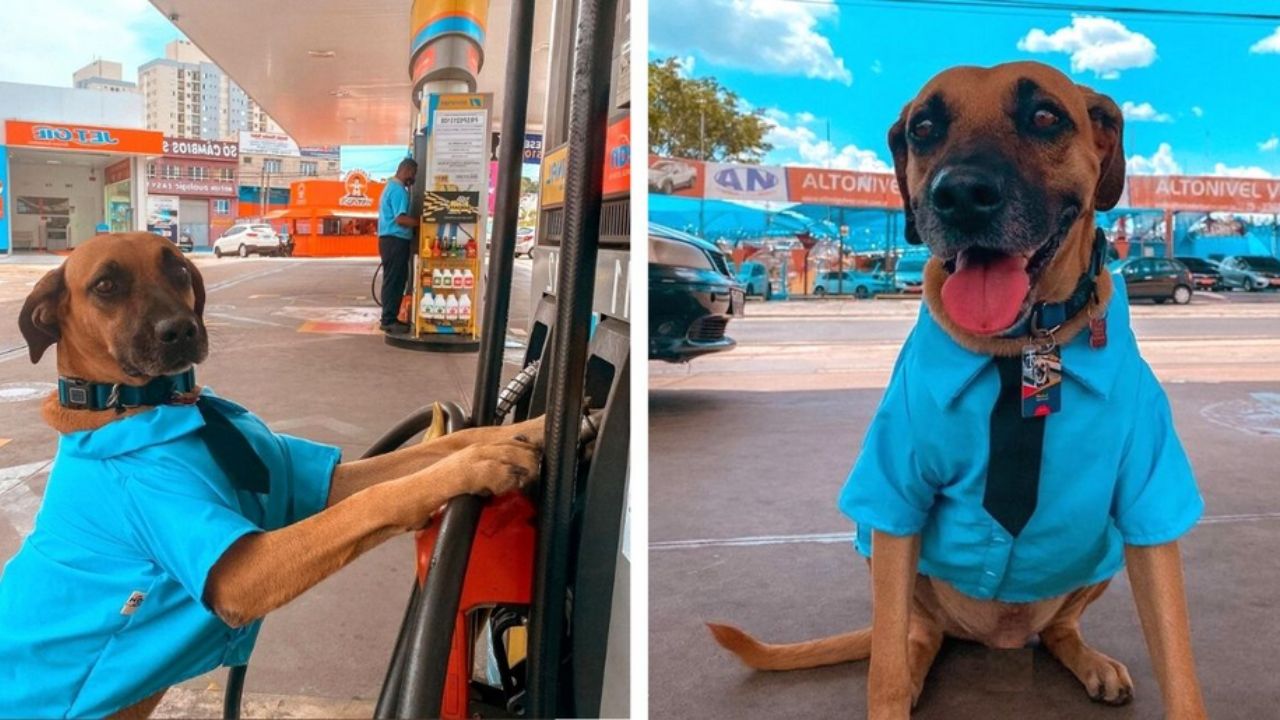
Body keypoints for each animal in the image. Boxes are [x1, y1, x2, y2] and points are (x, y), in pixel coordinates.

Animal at [0, 233, 545, 712]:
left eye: (177, 269)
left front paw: (527, 429)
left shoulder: (308, 478)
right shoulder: (241, 570)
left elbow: (425, 454)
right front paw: (479, 465)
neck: (146, 407)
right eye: (106, 285)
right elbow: (374, 499)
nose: (180, 331)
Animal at [711, 63, 1208, 717]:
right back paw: (917, 665)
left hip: (1098, 555)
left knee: (1059, 629)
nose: (962, 196)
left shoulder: (1150, 504)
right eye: (923, 128)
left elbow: (1179, 663)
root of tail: (998, 637)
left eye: (1045, 116)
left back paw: (1088, 660)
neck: (1021, 350)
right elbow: (884, 670)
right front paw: (891, 692)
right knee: (909, 639)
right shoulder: (894, 503)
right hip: (902, 575)